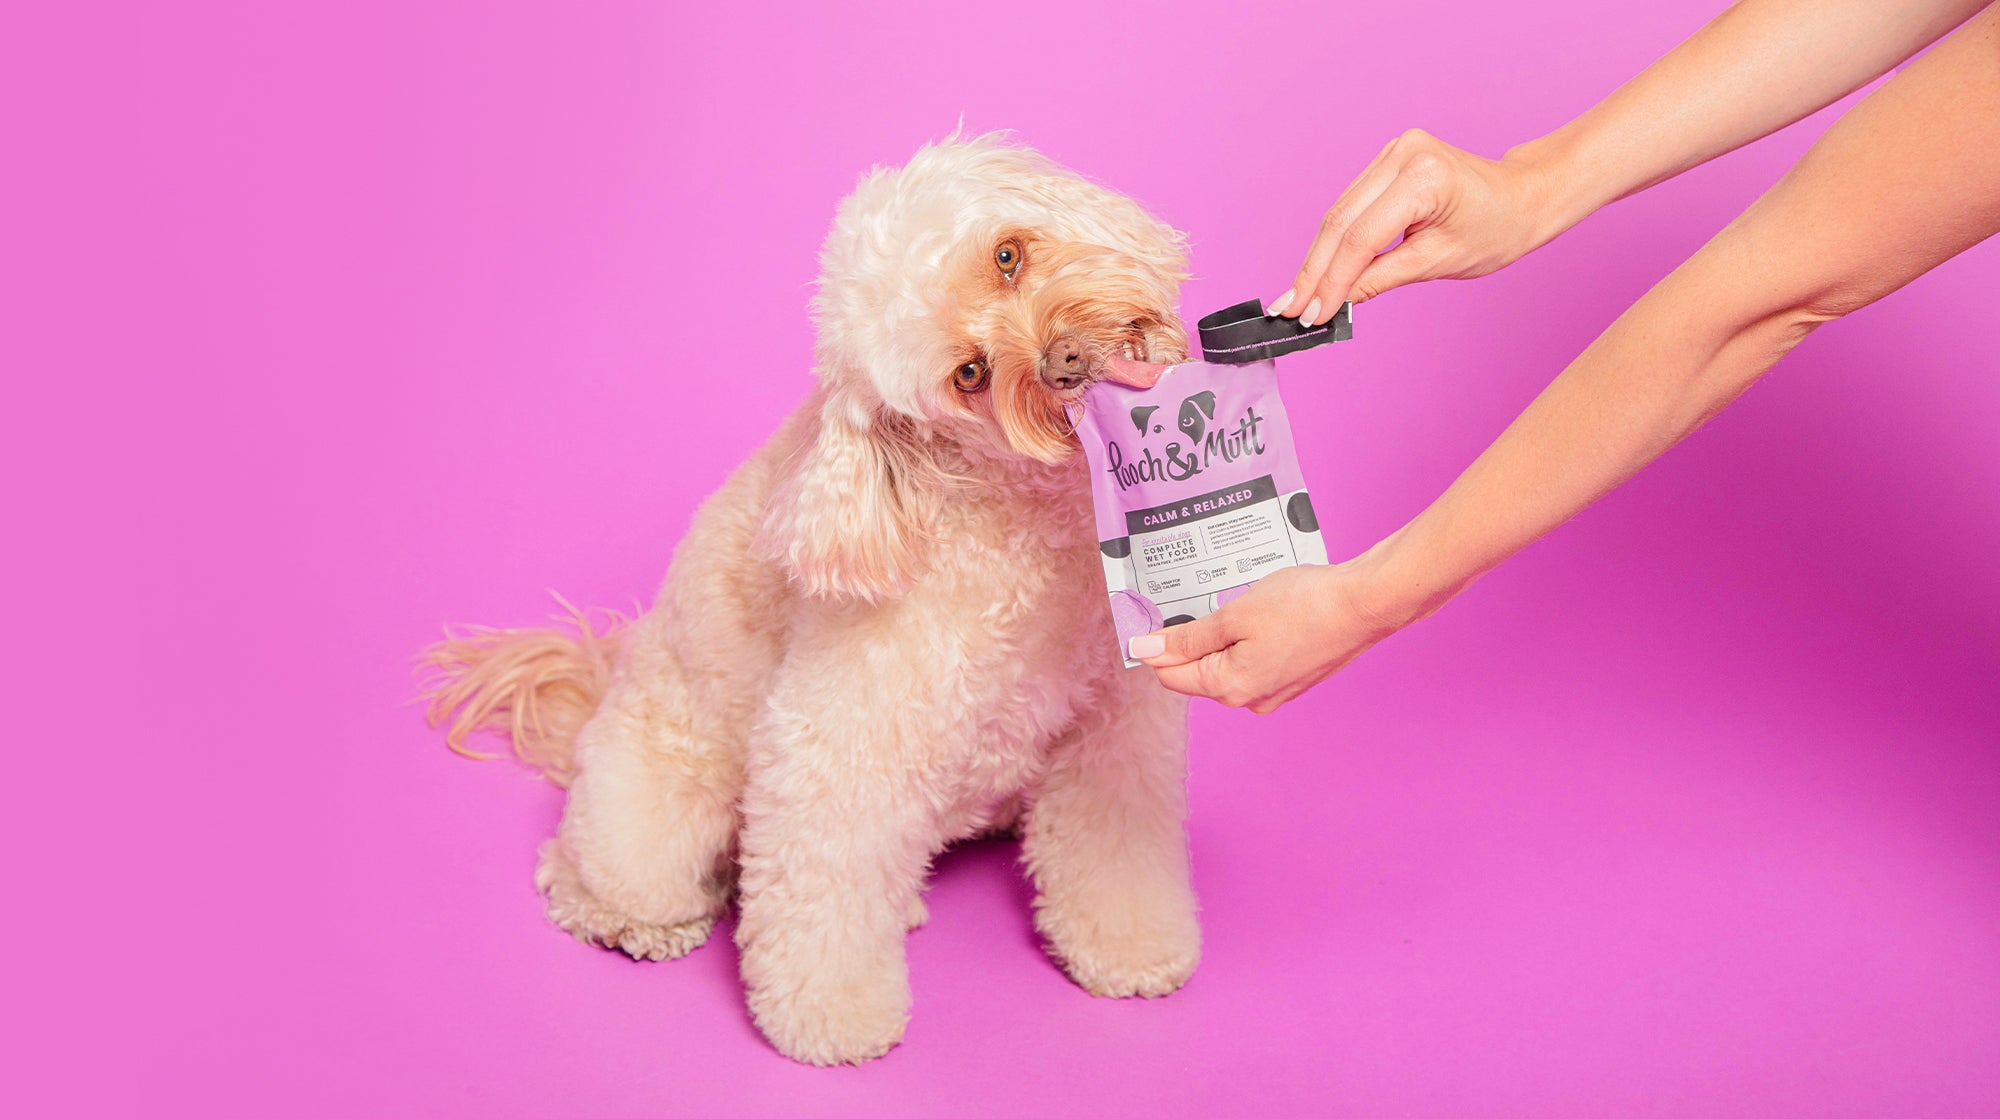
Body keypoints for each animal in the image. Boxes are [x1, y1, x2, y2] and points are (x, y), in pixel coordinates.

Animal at [420, 133, 1192, 1064]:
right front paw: (832, 1020)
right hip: (652, 822)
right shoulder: (835, 744)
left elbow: (1112, 849)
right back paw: (636, 922)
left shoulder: (1113, 727)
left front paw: (1133, 947)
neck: (1021, 518)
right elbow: (822, 890)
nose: (1065, 360)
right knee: (579, 874)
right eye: (970, 375)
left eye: (1007, 256)